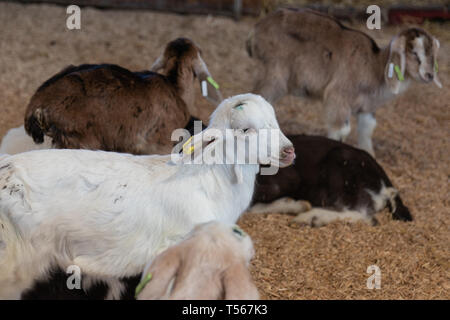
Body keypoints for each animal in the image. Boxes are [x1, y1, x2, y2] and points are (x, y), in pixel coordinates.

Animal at [248, 8, 442, 156]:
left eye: (432, 54)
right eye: (413, 52)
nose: (429, 75)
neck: (374, 66)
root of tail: (257, 30)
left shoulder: (366, 107)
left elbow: (367, 129)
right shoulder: (338, 97)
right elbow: (341, 130)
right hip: (274, 73)